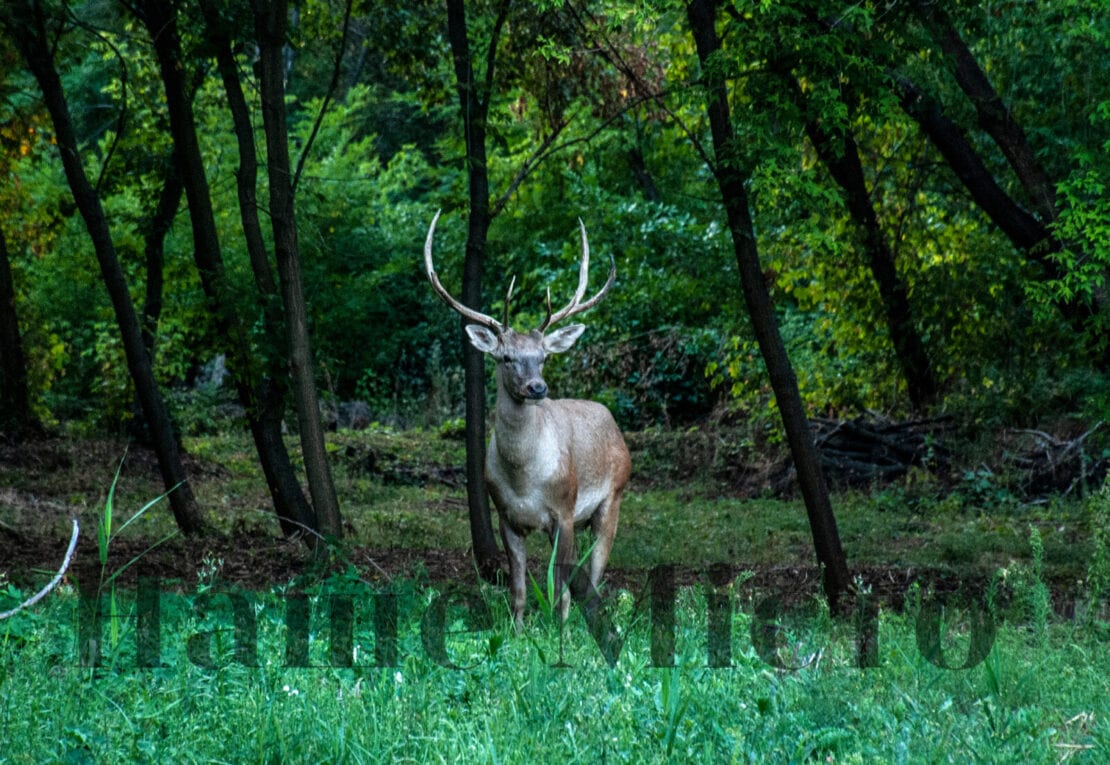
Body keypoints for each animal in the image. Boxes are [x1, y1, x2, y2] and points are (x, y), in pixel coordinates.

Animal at [424, 209, 634, 626]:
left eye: (544, 356)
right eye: (506, 357)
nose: (538, 387)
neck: (524, 479)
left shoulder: (564, 510)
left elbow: (563, 589)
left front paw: (563, 632)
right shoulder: (507, 516)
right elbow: (520, 588)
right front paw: (519, 631)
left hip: (614, 496)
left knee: (595, 574)